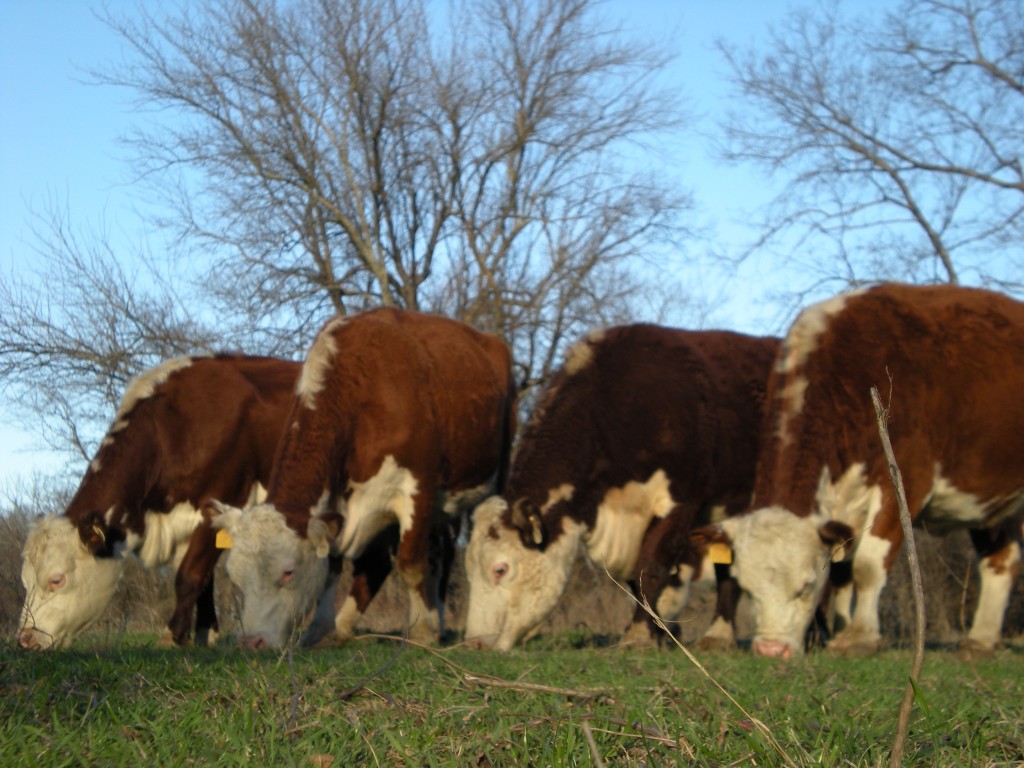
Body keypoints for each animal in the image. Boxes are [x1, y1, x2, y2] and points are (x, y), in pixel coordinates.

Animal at [18, 354, 299, 651]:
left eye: (56, 580)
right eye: (25, 580)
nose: (25, 639)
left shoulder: (219, 503)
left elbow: (189, 575)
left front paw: (172, 635)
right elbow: (205, 578)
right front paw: (204, 634)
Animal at [208, 309, 516, 651]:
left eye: (288, 572)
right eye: (235, 576)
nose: (251, 642)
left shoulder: (417, 488)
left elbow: (410, 564)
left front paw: (422, 632)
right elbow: (333, 566)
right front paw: (321, 629)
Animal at [460, 321, 778, 651]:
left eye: (500, 569)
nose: (473, 643)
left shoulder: (680, 502)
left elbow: (650, 567)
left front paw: (638, 636)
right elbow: (634, 580)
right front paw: (659, 634)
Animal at [700, 286, 1024, 659]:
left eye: (806, 585)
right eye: (748, 589)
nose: (770, 649)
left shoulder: (906, 480)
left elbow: (867, 565)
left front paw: (859, 637)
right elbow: (842, 572)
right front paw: (840, 629)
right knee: (1001, 559)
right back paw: (981, 639)